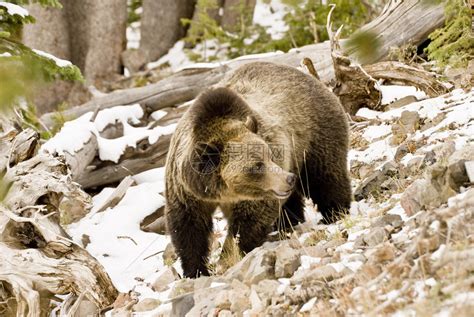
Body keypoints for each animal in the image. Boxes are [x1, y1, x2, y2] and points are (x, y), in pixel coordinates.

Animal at [165, 61, 350, 276]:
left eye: (269, 155)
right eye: (257, 165)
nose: (288, 179)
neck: (221, 191)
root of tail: (309, 77)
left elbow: (250, 220)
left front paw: (229, 256)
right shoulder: (185, 190)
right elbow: (188, 227)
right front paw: (195, 270)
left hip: (313, 135)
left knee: (325, 176)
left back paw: (334, 213)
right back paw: (289, 223)